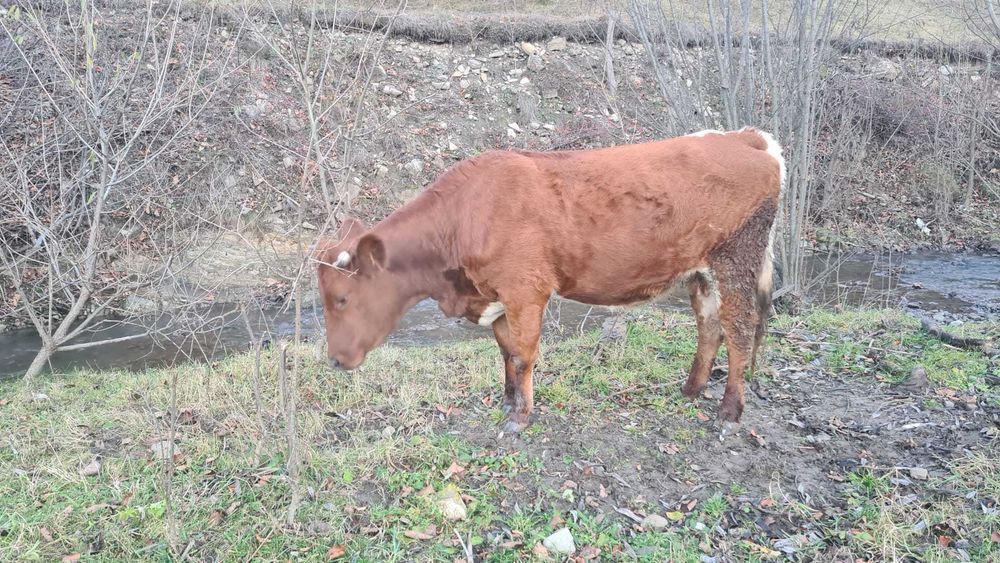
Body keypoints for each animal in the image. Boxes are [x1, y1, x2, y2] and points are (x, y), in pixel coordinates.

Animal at [314, 127, 785, 433]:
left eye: (340, 298)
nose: (334, 360)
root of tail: (744, 136)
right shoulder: (497, 295)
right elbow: (506, 352)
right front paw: (508, 403)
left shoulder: (526, 291)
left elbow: (524, 355)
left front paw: (520, 419)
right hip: (701, 272)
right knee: (709, 327)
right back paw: (691, 389)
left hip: (737, 258)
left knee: (739, 332)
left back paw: (729, 412)